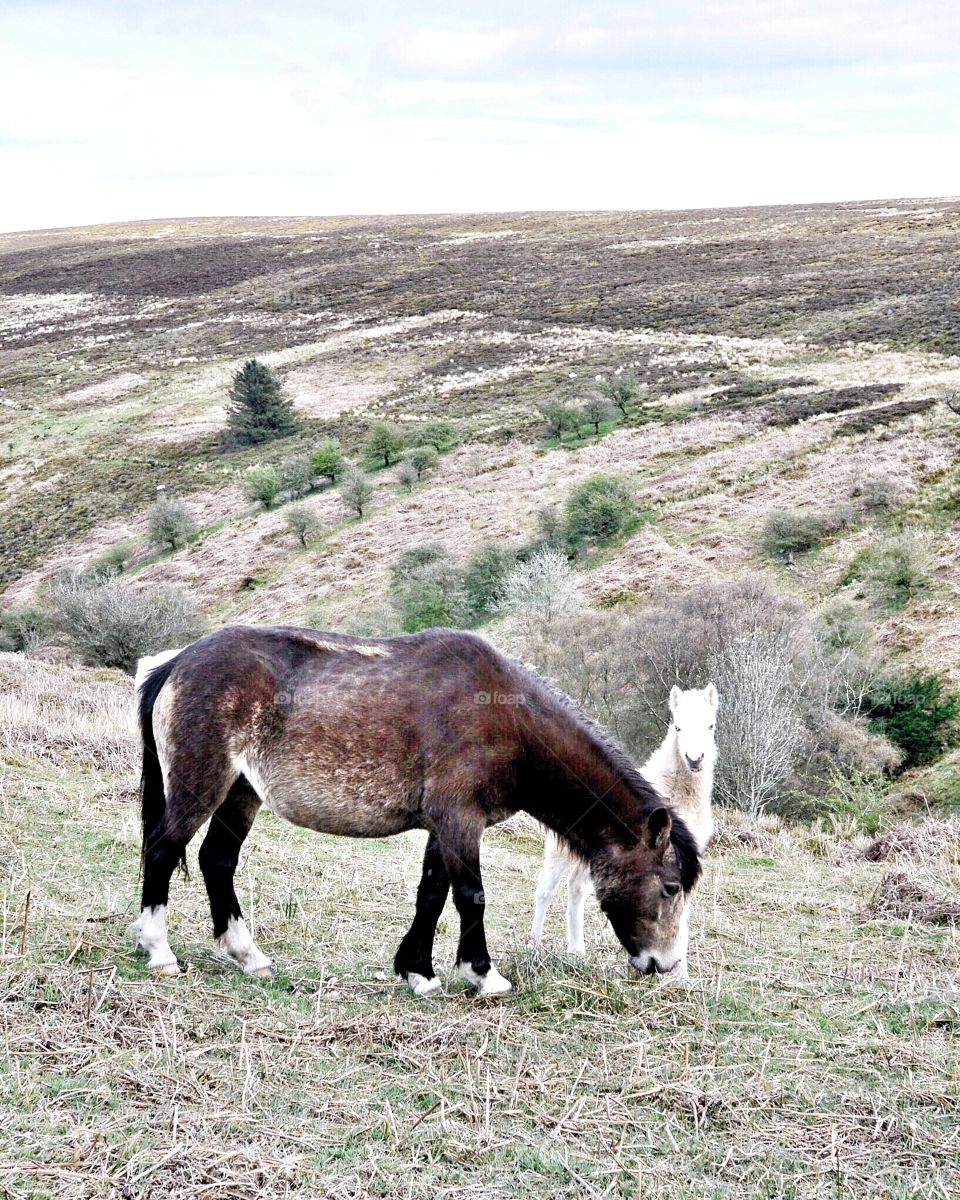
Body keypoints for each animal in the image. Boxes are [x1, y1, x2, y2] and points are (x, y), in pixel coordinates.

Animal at [529, 684, 718, 965]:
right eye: (677, 727)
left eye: (710, 726)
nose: (695, 759)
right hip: (559, 851)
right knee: (545, 890)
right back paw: (533, 947)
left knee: (576, 887)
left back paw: (577, 950)